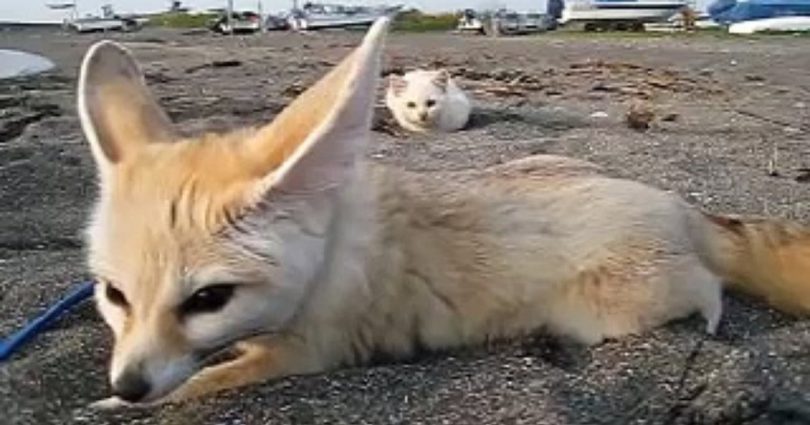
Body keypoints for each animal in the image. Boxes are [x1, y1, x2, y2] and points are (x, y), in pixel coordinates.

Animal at [80, 19, 808, 404]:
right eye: (114, 295)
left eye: (209, 299)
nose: (129, 381)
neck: (326, 256)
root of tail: (679, 203)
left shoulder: (309, 352)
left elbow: (192, 387)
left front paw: (118, 403)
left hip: (609, 308)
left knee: (708, 284)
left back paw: (709, 312)